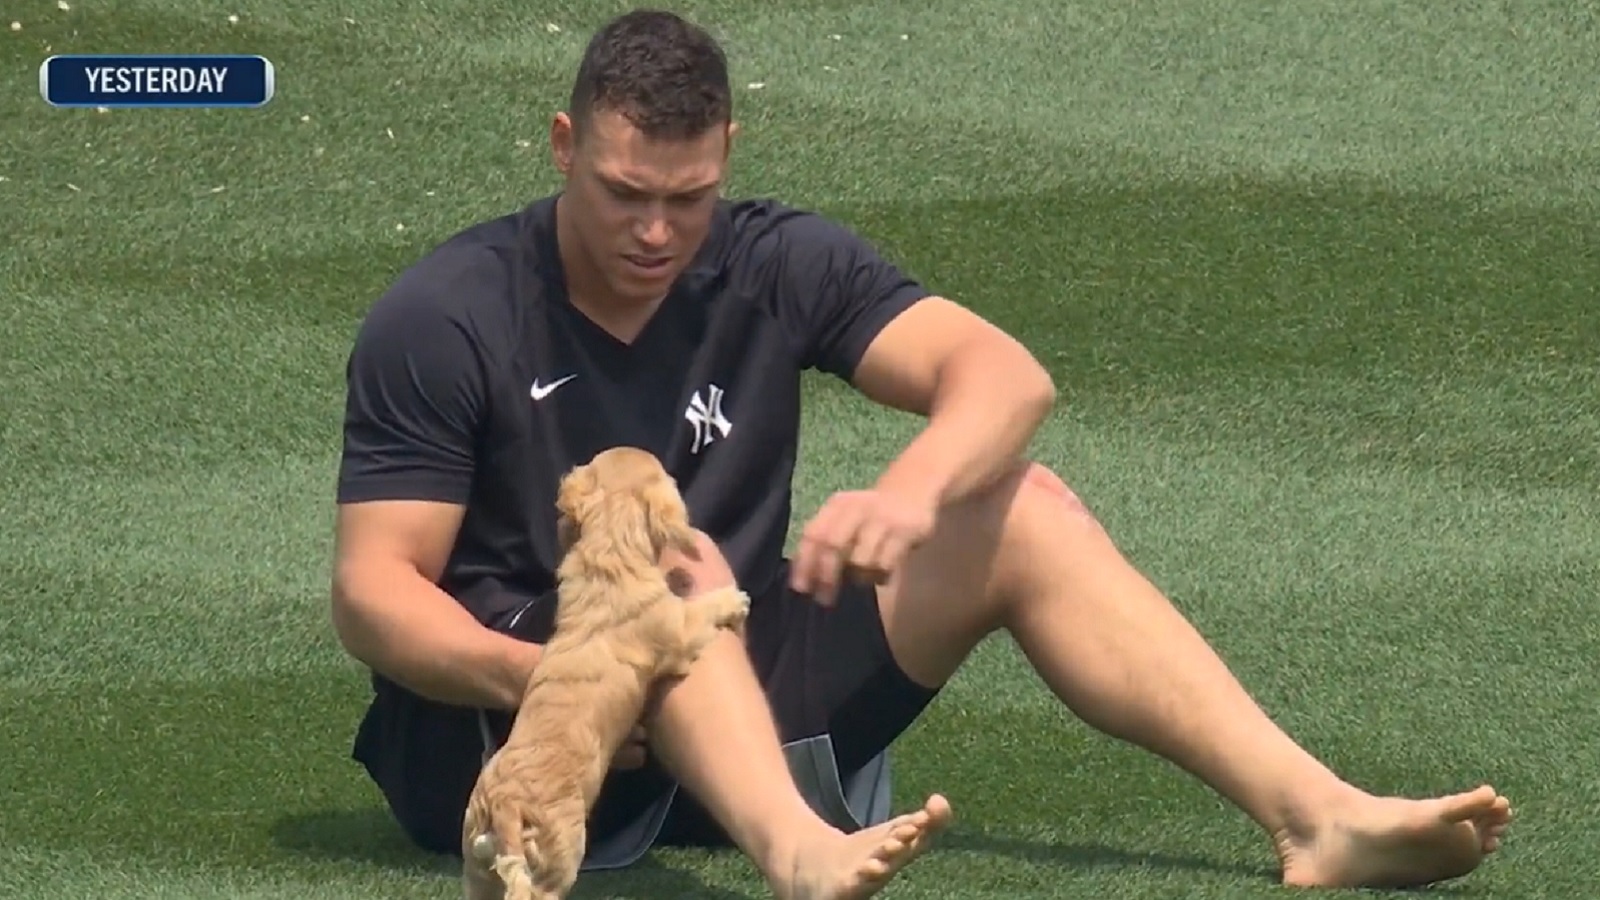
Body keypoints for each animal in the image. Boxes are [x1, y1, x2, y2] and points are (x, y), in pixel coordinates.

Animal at [457, 445, 742, 890]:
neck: (609, 560)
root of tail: (504, 807)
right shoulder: (677, 632)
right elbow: (699, 609)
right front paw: (730, 598)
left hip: (477, 872)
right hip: (555, 863)